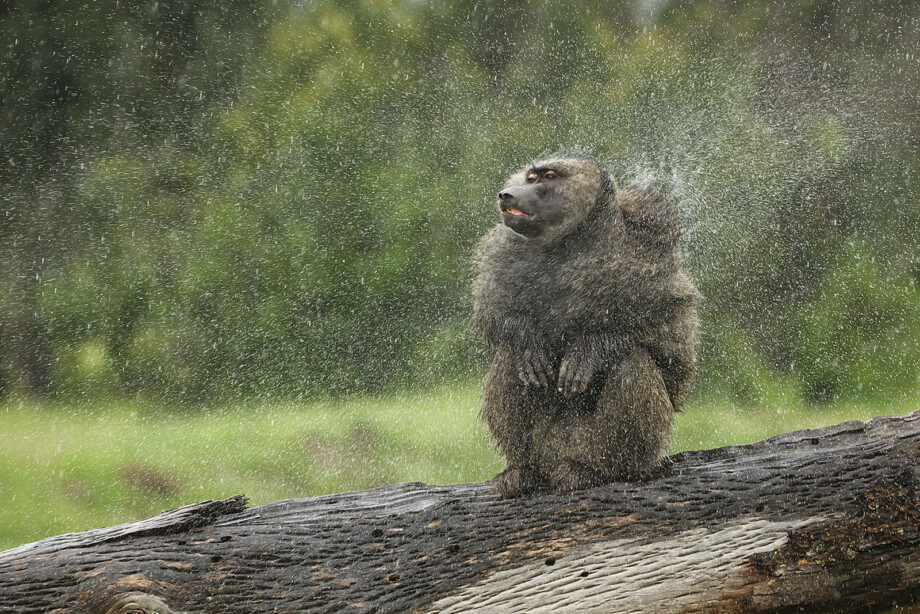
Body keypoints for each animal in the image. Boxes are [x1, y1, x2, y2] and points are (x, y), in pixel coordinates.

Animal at [472, 155, 700, 498]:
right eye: (530, 177)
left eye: (549, 177)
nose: (507, 195)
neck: (571, 244)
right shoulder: (507, 254)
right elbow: (495, 314)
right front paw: (527, 340)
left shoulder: (648, 260)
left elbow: (671, 344)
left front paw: (589, 351)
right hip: (546, 445)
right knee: (510, 357)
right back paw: (522, 470)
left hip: (598, 445)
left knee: (631, 362)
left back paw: (599, 471)